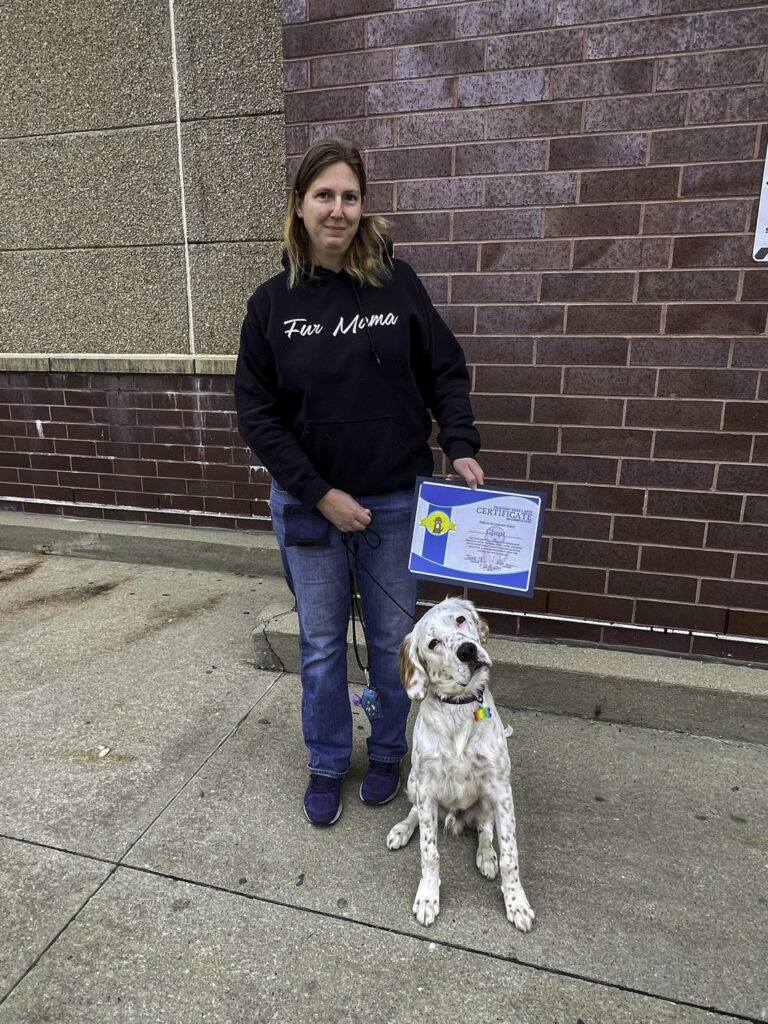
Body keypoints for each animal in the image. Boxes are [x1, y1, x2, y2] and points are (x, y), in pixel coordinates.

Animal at [387, 598, 532, 933]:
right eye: (433, 643)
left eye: (460, 620)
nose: (467, 650)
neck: (459, 709)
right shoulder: (427, 788)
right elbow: (429, 851)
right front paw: (428, 897)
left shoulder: (501, 790)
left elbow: (510, 855)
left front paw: (516, 902)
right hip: (414, 782)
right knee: (414, 812)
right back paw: (402, 829)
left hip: (487, 799)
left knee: (485, 827)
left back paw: (486, 855)